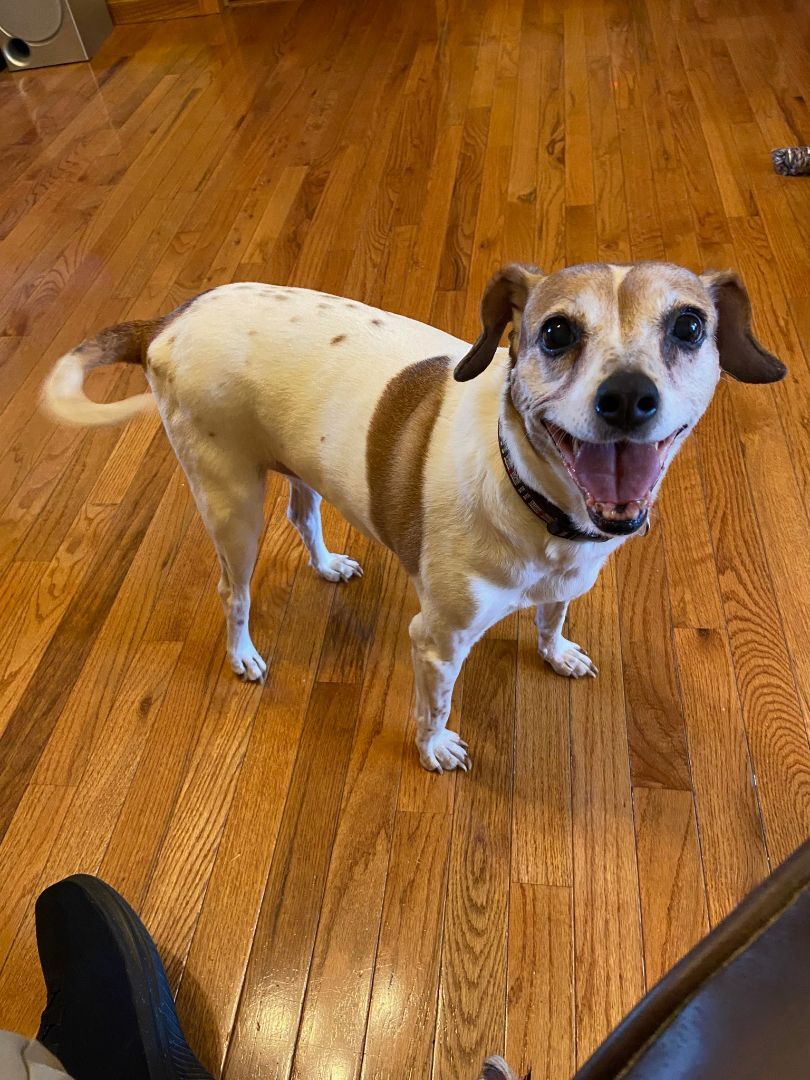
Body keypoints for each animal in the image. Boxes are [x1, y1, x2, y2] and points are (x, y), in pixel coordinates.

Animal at [42, 262, 786, 773]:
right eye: (556, 333)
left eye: (689, 326)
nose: (628, 396)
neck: (532, 499)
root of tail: (168, 320)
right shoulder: (436, 639)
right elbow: (436, 703)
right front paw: (435, 750)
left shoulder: (565, 584)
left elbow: (550, 620)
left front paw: (557, 653)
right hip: (231, 504)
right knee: (234, 592)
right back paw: (244, 655)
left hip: (300, 470)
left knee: (303, 517)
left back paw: (328, 564)